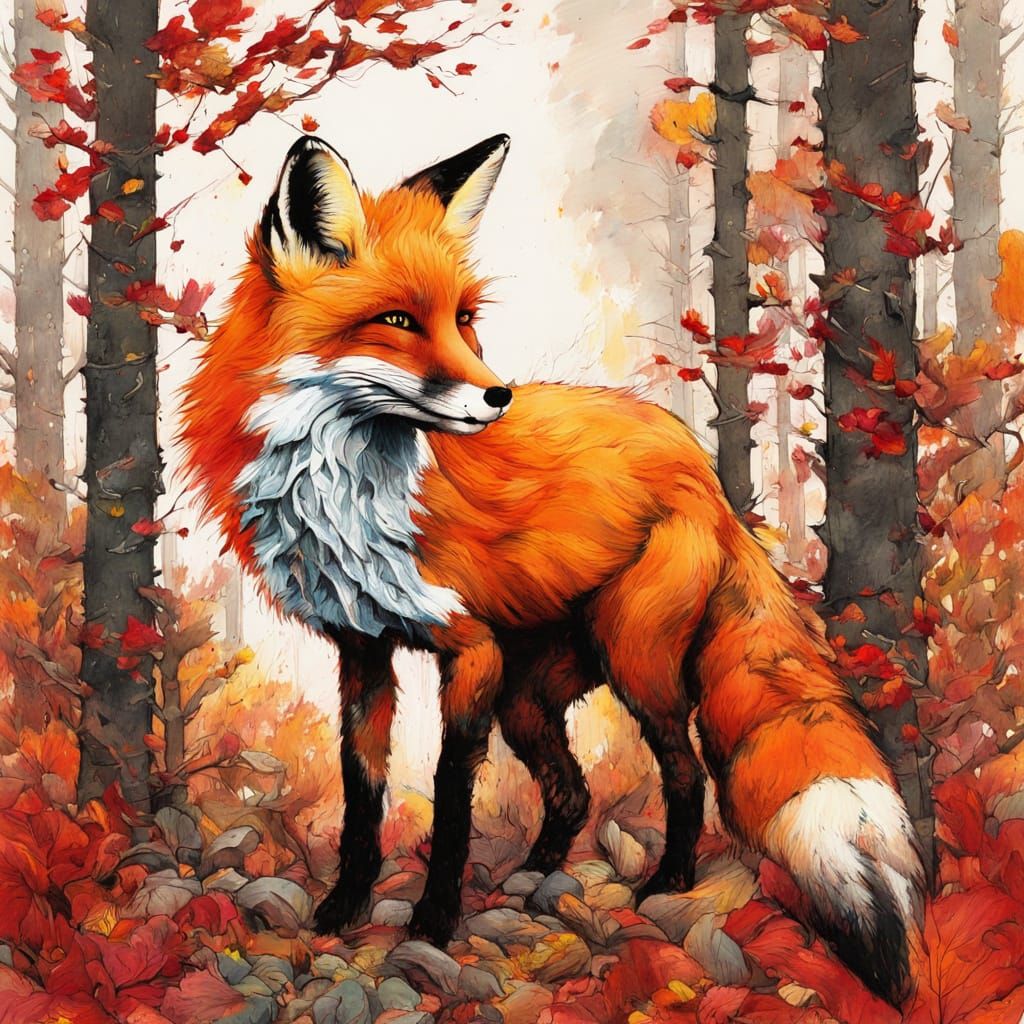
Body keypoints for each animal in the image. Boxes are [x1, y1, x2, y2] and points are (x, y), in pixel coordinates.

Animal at [180, 133, 925, 1004]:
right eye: (396, 321)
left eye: (464, 320)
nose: (496, 396)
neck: (351, 488)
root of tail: (701, 469)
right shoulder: (362, 649)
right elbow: (362, 795)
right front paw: (342, 908)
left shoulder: (467, 650)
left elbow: (450, 798)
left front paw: (434, 923)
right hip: (531, 694)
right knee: (573, 791)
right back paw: (535, 876)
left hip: (634, 663)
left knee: (685, 774)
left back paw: (665, 883)